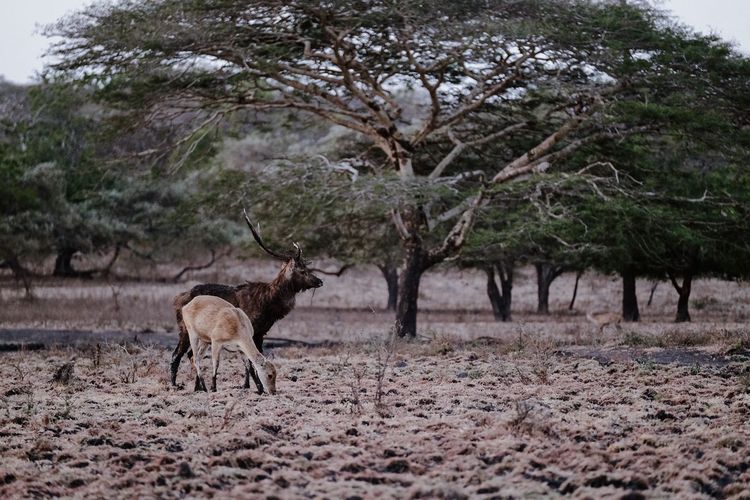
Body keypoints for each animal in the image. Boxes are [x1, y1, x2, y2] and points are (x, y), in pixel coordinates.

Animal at [172, 209, 324, 392]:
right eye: (302, 271)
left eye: (308, 268)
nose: (319, 281)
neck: (268, 305)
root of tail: (178, 299)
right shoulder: (252, 328)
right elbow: (250, 362)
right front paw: (256, 387)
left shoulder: (260, 332)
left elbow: (252, 359)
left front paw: (247, 385)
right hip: (185, 329)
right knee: (177, 354)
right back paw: (174, 384)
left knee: (190, 355)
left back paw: (197, 387)